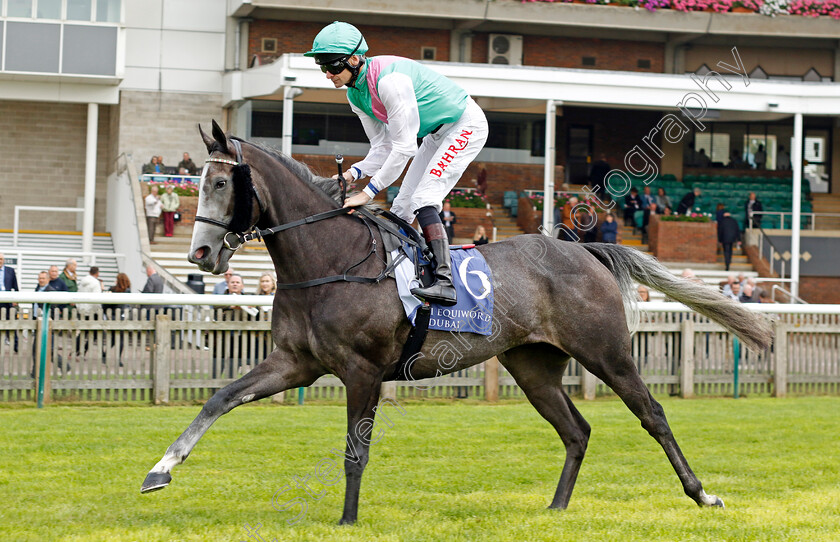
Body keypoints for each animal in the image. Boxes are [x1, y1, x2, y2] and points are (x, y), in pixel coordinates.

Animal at [139, 123, 776, 528]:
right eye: (196, 181)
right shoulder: (295, 364)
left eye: (221, 183)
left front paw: (347, 519)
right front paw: (159, 469)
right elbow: (219, 398)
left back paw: (702, 494)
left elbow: (354, 451)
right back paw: (556, 508)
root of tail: (585, 249)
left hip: (608, 352)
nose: (199, 255)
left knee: (653, 414)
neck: (327, 258)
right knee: (576, 431)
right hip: (532, 365)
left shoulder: (362, 372)